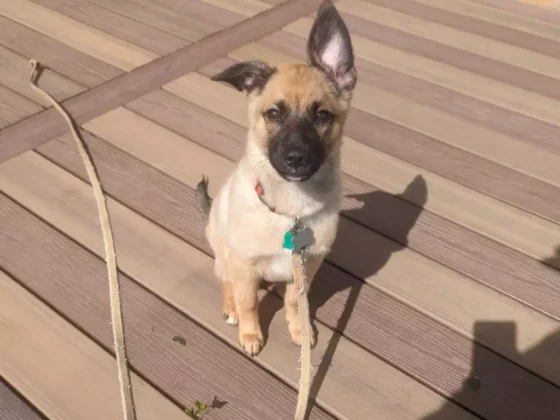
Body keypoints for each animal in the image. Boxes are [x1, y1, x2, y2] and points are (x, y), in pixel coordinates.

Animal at [196, 0, 354, 356]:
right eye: (273, 114)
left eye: (322, 115)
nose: (295, 158)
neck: (292, 211)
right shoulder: (243, 265)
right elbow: (248, 302)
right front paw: (251, 334)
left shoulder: (307, 267)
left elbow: (296, 302)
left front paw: (299, 329)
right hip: (224, 256)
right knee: (227, 284)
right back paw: (230, 310)